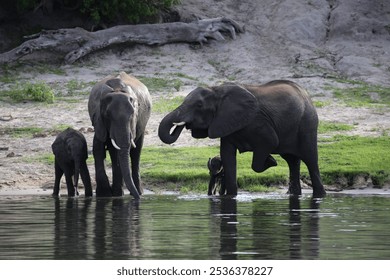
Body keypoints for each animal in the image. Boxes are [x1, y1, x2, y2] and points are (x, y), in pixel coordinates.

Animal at [158, 79, 326, 197]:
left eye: (199, 105)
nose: (182, 124)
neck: (217, 90)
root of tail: (306, 95)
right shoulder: (225, 122)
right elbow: (227, 156)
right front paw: (231, 195)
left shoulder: (258, 121)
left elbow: (270, 144)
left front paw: (271, 160)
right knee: (292, 161)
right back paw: (293, 194)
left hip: (307, 123)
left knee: (310, 159)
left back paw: (319, 195)